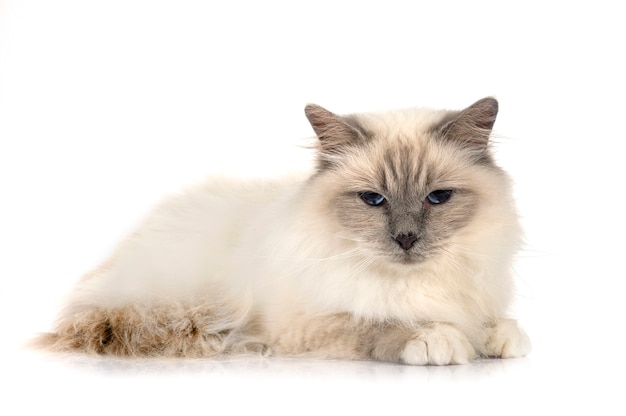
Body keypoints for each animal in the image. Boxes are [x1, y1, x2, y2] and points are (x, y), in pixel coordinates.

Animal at [36, 96, 528, 364]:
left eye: (437, 198)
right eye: (373, 200)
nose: (405, 239)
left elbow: (491, 322)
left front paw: (498, 338)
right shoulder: (308, 323)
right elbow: (378, 324)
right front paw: (437, 338)